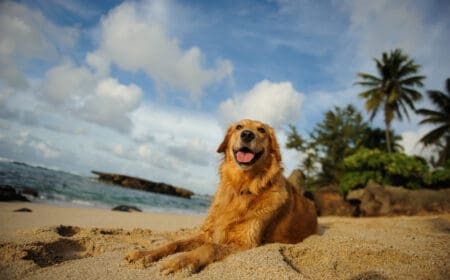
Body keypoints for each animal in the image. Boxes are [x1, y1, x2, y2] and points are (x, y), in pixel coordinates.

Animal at [125, 118, 318, 274]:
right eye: (239, 127)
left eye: (261, 130)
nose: (247, 134)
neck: (242, 187)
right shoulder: (207, 232)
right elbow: (175, 243)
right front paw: (145, 254)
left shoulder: (245, 243)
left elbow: (210, 248)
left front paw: (182, 261)